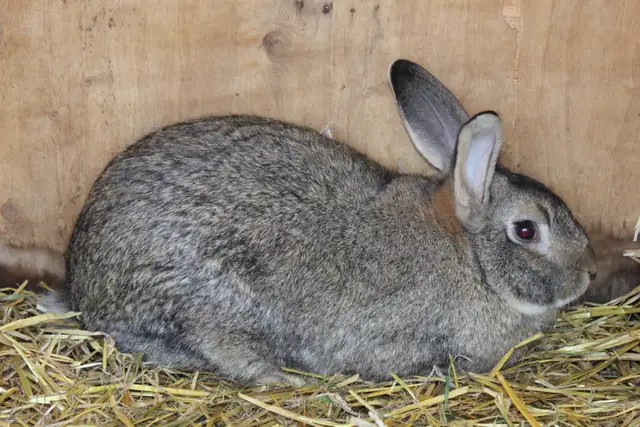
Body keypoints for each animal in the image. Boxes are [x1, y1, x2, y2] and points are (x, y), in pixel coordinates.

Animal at [31, 58, 599, 387]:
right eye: (527, 231)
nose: (590, 272)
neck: (471, 260)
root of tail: (83, 287)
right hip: (211, 301)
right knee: (225, 350)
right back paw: (287, 381)